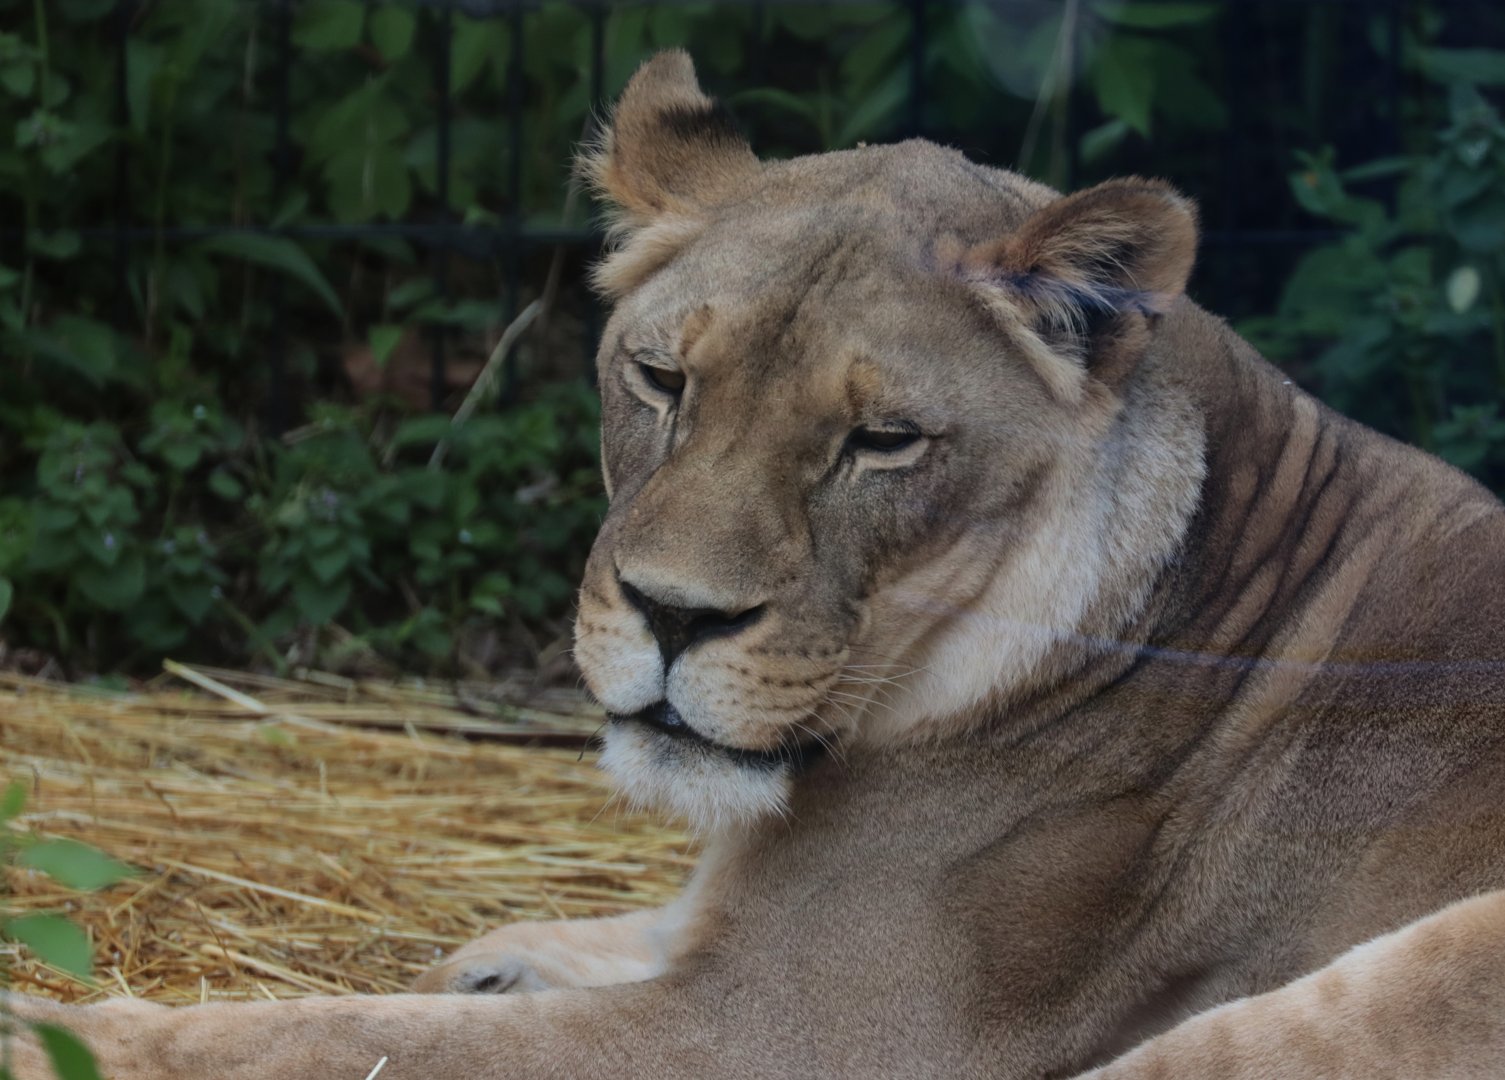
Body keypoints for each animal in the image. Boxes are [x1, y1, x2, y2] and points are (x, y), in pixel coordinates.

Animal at [5, 51, 1505, 1079]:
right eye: (662, 378)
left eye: (882, 442)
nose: (672, 619)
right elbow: (627, 926)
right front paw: (500, 960)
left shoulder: (785, 1033)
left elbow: (339, 1039)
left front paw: (57, 1033)